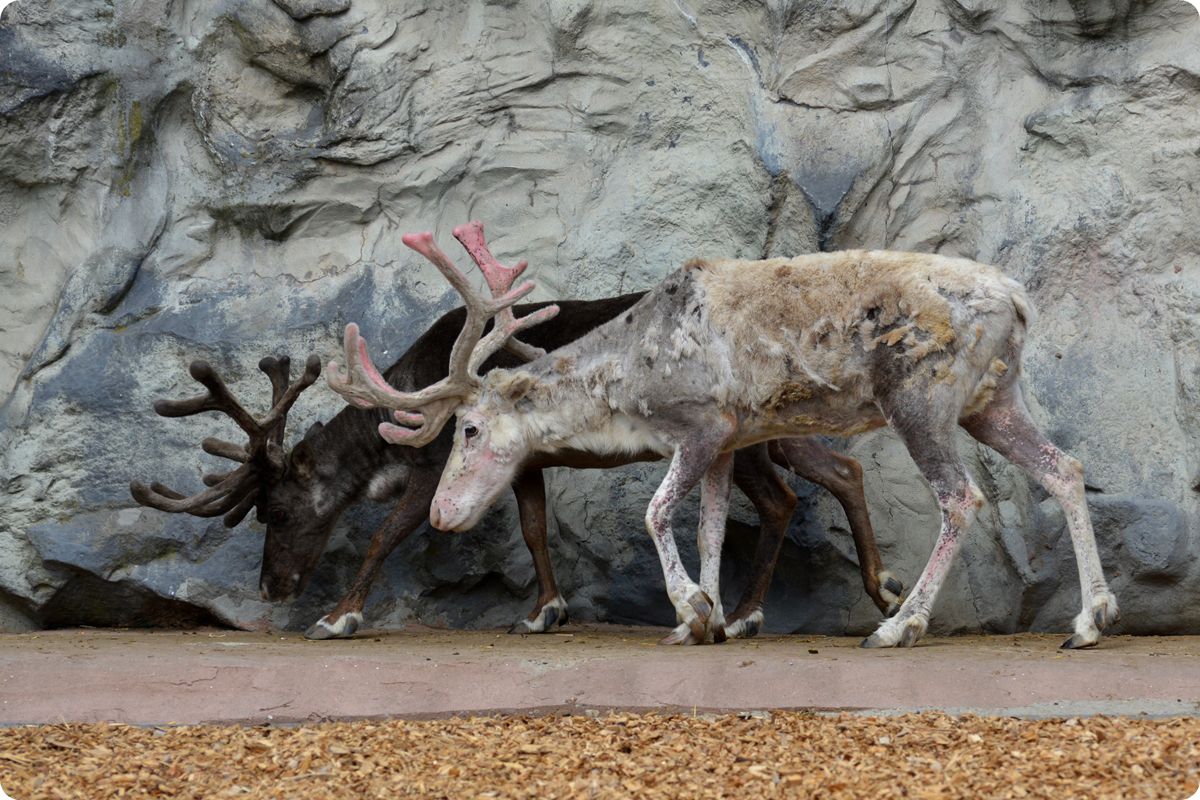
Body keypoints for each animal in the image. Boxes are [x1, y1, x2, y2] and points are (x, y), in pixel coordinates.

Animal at [130, 222, 903, 640]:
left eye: (278, 509)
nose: (271, 589)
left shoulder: (434, 463)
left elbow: (389, 533)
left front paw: (339, 616)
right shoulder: (523, 461)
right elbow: (533, 529)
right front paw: (544, 611)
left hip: (738, 436)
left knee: (784, 498)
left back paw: (745, 614)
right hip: (778, 428)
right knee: (841, 471)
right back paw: (878, 586)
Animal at [333, 231, 1119, 649]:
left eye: (468, 428)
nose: (442, 513)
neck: (630, 380)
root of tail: (1018, 300)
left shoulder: (704, 423)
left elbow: (657, 510)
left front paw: (691, 608)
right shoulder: (734, 439)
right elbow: (709, 524)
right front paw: (705, 618)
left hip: (920, 398)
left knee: (963, 498)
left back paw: (899, 626)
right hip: (993, 399)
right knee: (1065, 467)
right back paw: (1089, 618)